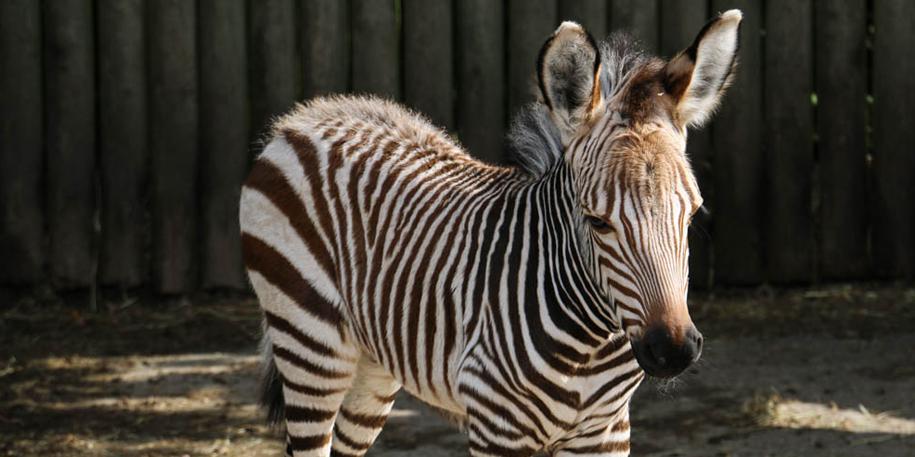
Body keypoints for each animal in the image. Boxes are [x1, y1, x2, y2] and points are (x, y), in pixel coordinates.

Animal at [242, 10, 744, 456]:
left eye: (691, 216)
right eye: (598, 222)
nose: (674, 351)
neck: (591, 345)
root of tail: (311, 115)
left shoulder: (606, 430)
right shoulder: (498, 424)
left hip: (375, 361)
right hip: (309, 340)